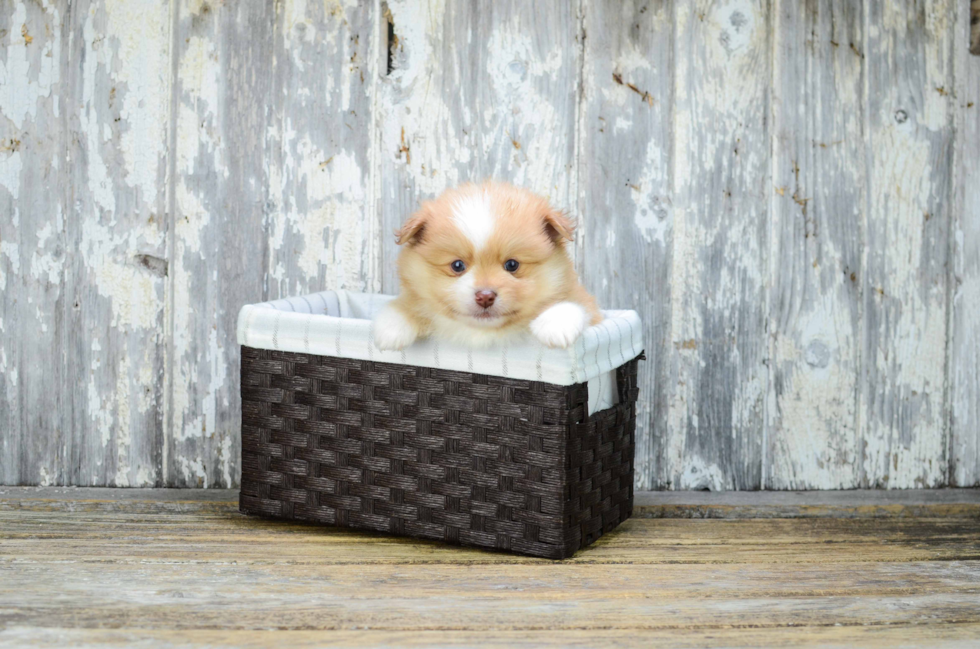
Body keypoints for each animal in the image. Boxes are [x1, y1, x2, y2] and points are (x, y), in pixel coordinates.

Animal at [376, 180, 604, 352]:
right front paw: (391, 328)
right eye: (457, 265)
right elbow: (405, 306)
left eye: (512, 265)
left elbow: (574, 305)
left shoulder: (587, 305)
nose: (485, 296)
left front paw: (555, 325)